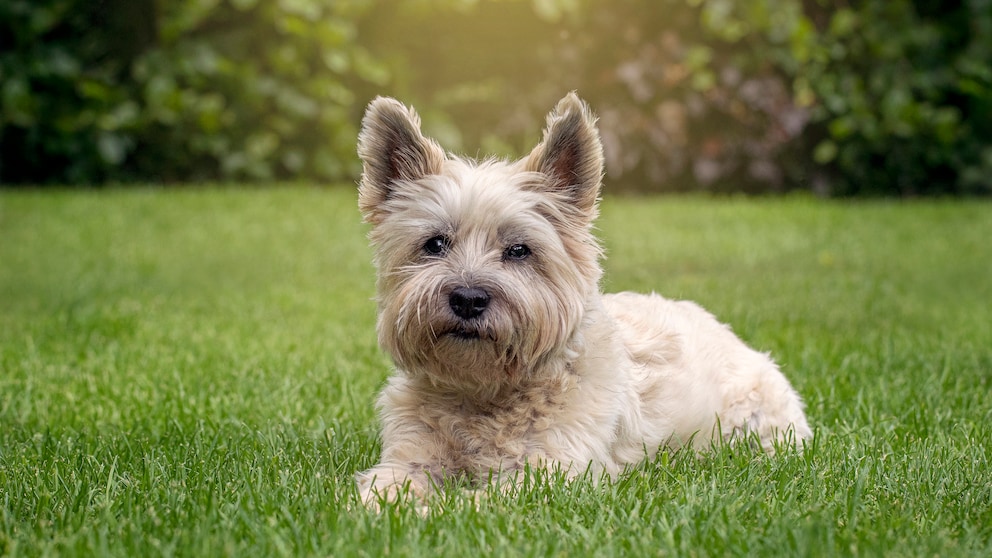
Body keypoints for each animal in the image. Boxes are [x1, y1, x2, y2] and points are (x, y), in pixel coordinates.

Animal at [352, 93, 808, 512]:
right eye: (435, 244)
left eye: (519, 250)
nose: (467, 299)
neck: (485, 391)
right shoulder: (409, 453)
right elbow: (388, 483)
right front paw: (381, 509)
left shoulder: (551, 471)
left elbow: (477, 505)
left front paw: (433, 511)